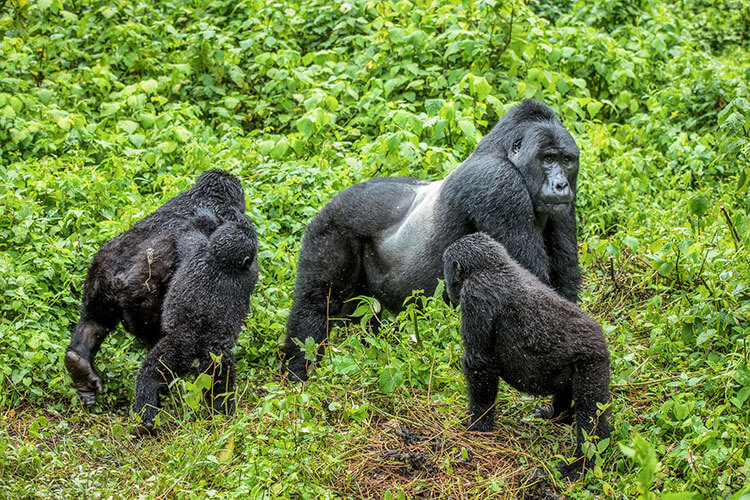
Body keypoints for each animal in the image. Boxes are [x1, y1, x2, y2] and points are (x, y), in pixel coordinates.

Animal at [135, 220, 262, 434]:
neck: (218, 262)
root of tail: (192, 350)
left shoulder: (195, 247)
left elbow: (186, 232)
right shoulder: (249, 273)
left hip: (171, 350)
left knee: (150, 375)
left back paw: (146, 421)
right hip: (213, 359)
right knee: (220, 385)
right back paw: (223, 416)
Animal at [284, 99, 584, 380]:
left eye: (567, 160)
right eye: (547, 159)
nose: (560, 185)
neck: (507, 155)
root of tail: (333, 199)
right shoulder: (499, 185)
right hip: (331, 225)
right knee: (317, 301)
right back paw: (299, 365)